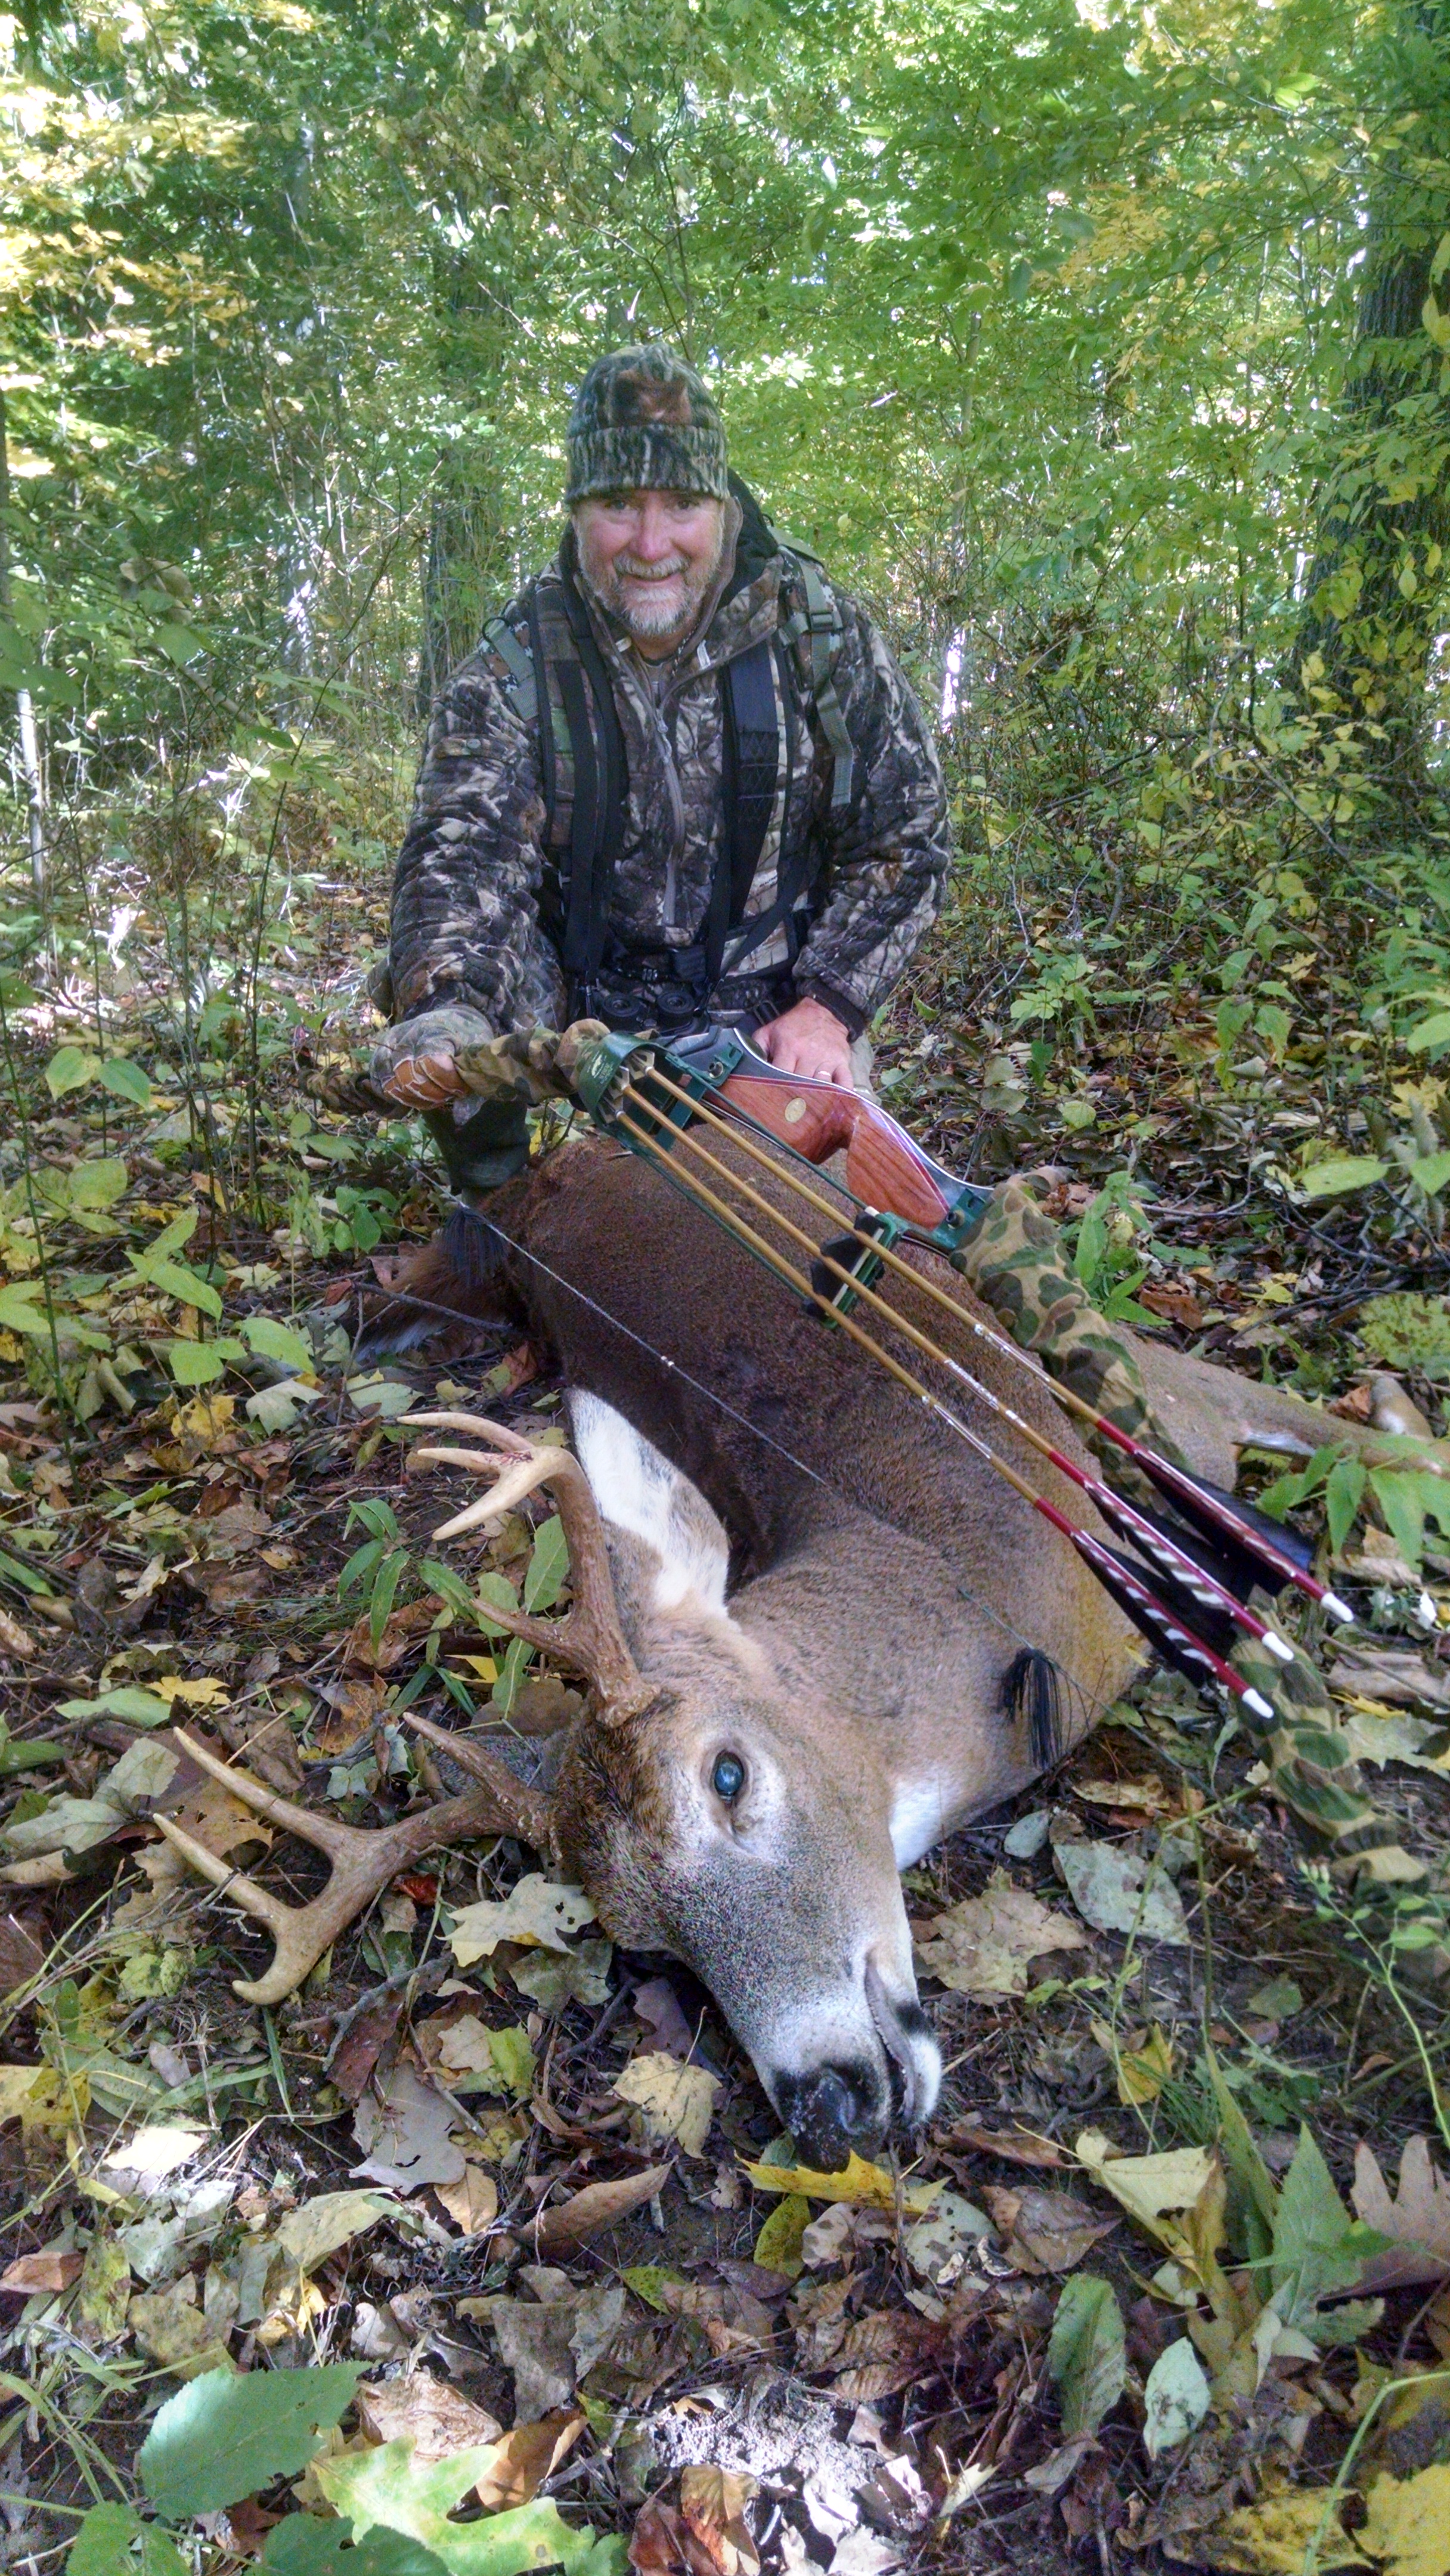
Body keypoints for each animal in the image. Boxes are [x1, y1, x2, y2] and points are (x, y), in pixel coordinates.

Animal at [155, 1127, 1446, 2172]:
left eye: (727, 1774)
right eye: (644, 1945)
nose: (823, 2103)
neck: (972, 1581)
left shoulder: (1159, 1410)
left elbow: (1367, 1440)